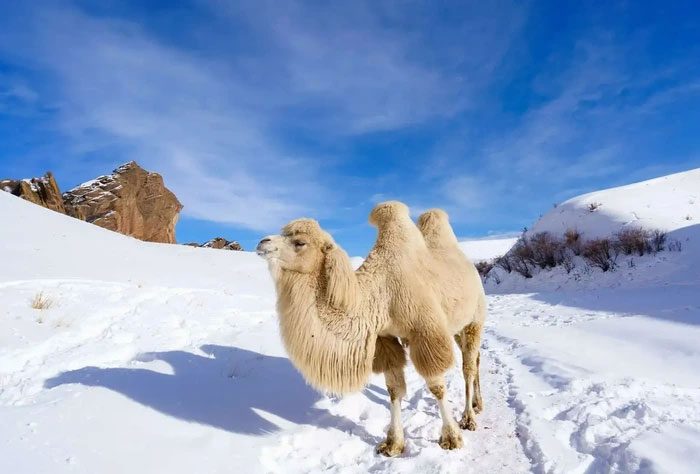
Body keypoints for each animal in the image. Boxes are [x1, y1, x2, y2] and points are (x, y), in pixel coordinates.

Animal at [256, 200, 486, 456]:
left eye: (299, 242)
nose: (262, 242)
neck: (382, 293)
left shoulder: (425, 333)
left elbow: (437, 387)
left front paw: (451, 437)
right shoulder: (385, 337)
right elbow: (394, 389)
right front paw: (393, 443)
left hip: (474, 320)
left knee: (468, 367)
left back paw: (468, 418)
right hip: (456, 329)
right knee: (476, 360)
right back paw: (477, 404)